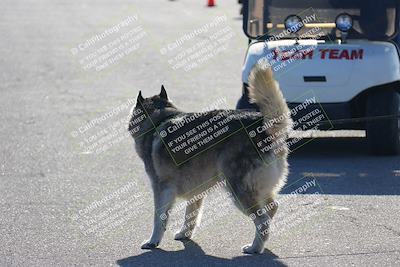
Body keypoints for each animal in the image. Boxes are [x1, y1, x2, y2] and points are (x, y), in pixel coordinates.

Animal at [130, 63, 292, 255]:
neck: (159, 119)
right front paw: (184, 234)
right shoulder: (196, 191)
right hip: (260, 189)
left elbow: (159, 218)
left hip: (237, 190)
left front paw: (153, 241)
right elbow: (190, 215)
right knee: (272, 208)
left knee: (263, 220)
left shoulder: (161, 189)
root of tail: (262, 127)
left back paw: (254, 248)